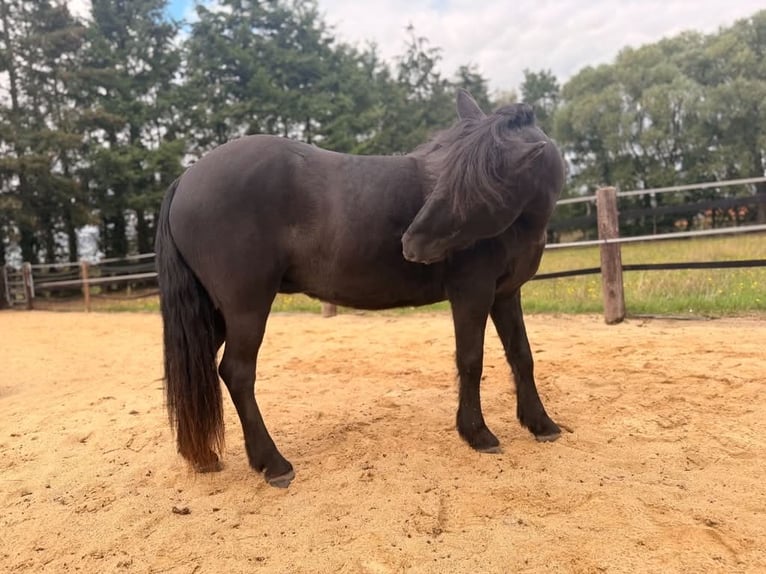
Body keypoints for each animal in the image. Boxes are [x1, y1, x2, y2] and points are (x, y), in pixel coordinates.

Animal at [155, 90, 565, 488]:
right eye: (445, 176)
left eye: (477, 186)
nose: (411, 243)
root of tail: (186, 178)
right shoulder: (472, 293)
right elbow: (470, 360)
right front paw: (478, 434)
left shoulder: (506, 294)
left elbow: (521, 355)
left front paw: (541, 424)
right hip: (246, 307)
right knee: (237, 373)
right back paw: (273, 464)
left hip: (215, 314)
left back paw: (203, 456)